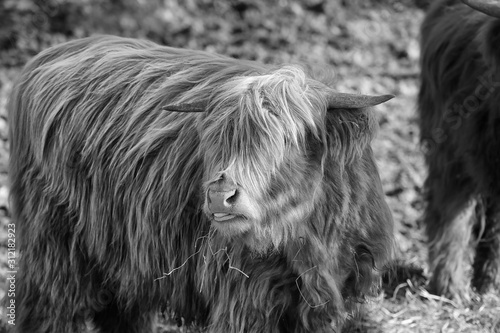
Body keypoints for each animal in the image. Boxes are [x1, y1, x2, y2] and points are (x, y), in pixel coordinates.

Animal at [5, 35, 392, 330]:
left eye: (290, 139)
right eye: (219, 138)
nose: (221, 195)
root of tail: (49, 56)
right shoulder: (244, 298)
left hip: (124, 253)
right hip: (55, 246)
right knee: (50, 306)